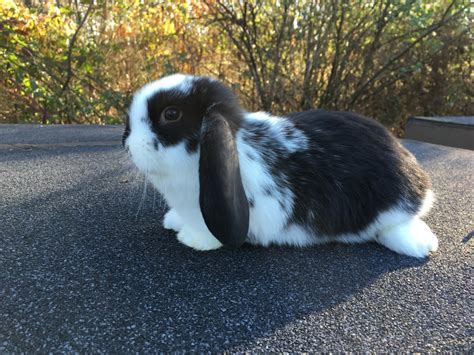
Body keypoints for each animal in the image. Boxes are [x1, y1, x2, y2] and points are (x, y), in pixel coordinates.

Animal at [124, 74, 438, 258]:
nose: (127, 142)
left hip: (389, 210)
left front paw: (194, 239)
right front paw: (174, 221)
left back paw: (422, 245)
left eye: (171, 114)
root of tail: (421, 183)